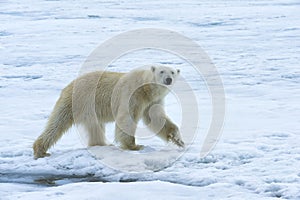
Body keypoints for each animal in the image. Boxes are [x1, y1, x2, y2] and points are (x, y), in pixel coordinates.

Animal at [32, 65, 183, 159]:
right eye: (162, 71)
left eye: (172, 72)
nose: (168, 79)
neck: (145, 88)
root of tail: (68, 85)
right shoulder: (132, 94)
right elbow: (126, 118)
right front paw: (135, 146)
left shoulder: (152, 101)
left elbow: (156, 119)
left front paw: (178, 139)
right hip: (78, 101)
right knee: (58, 123)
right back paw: (40, 150)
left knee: (94, 126)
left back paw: (101, 144)